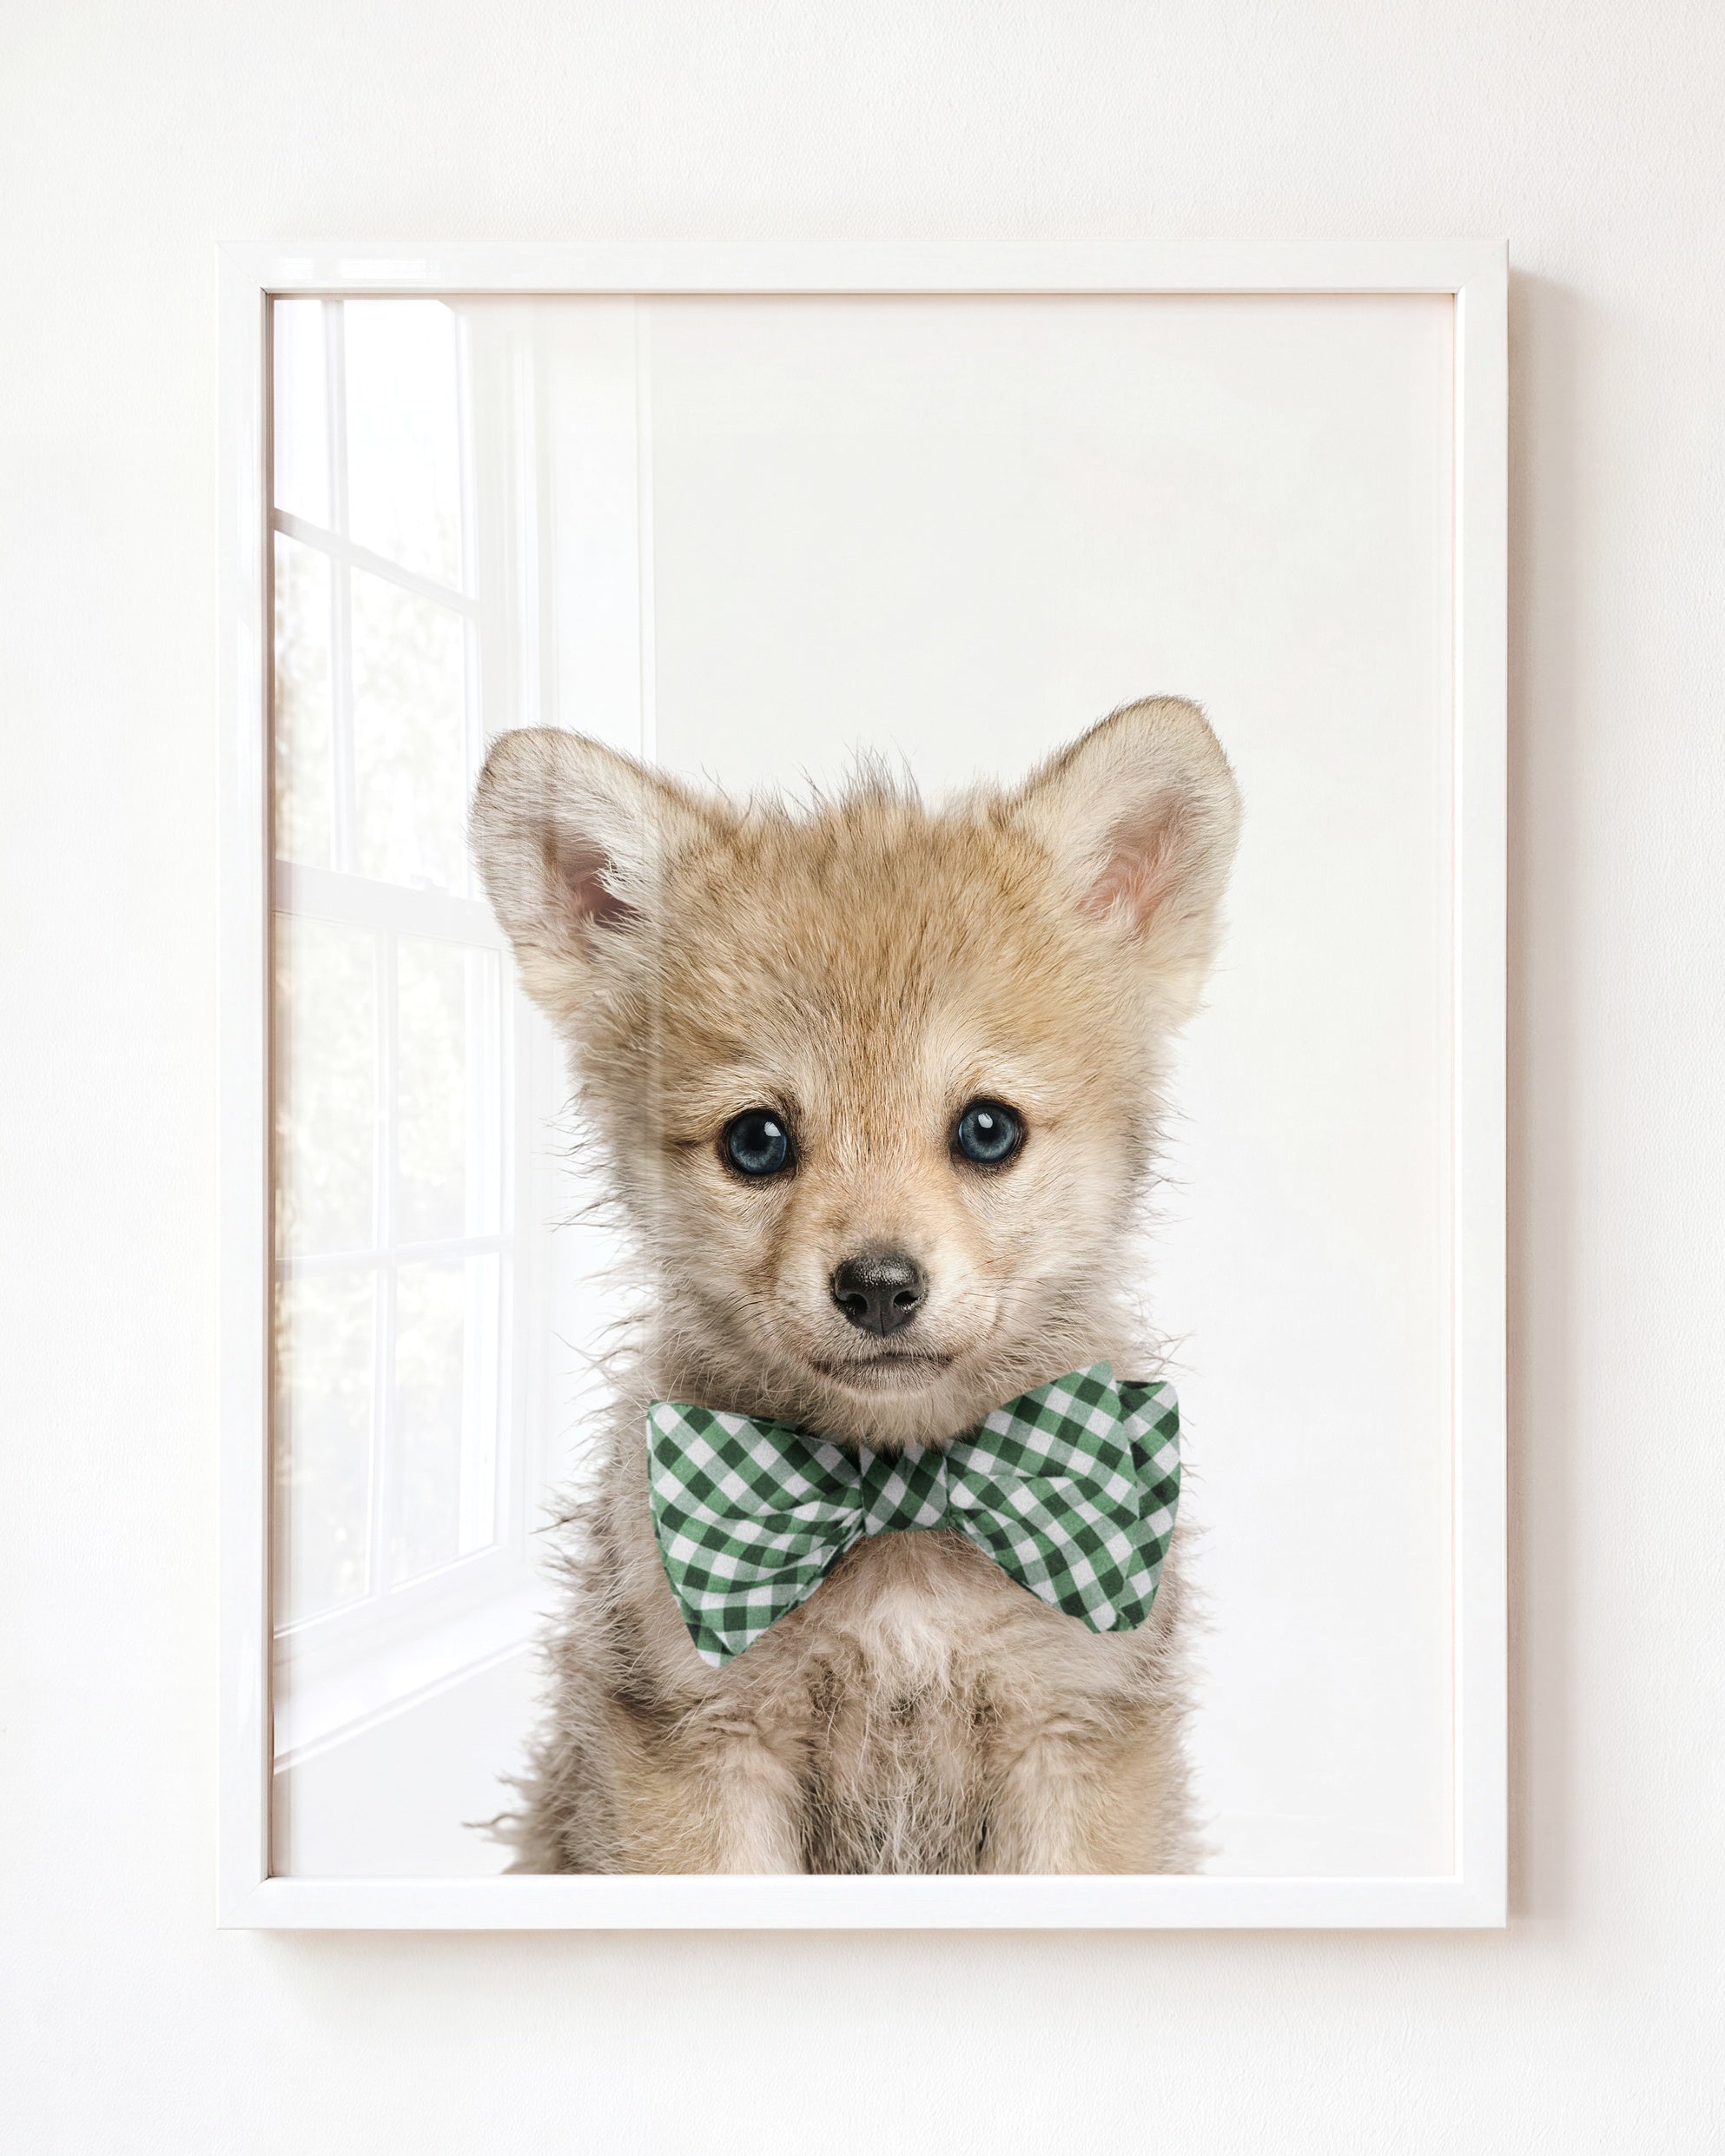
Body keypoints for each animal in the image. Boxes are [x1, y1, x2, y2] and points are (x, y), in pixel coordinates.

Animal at [470, 697, 1240, 1872]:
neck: (902, 1508)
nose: (879, 1286)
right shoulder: (703, 1741)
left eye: (987, 1129)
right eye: (756, 1140)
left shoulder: (1074, 1734)